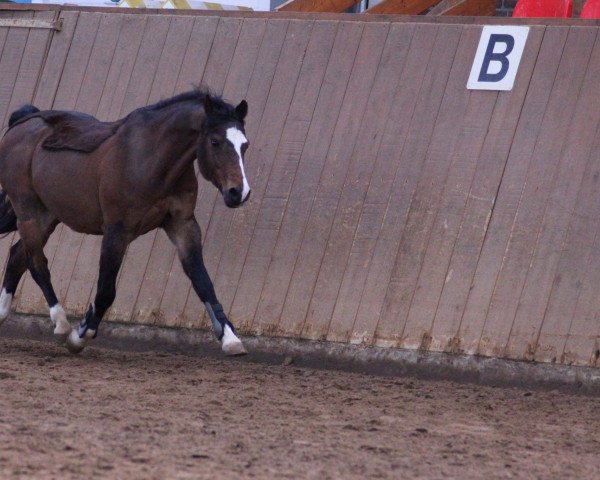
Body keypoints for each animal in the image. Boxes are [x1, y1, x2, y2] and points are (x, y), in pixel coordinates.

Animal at [0, 88, 251, 354]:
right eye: (215, 141)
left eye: (244, 145)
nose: (239, 193)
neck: (150, 159)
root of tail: (22, 123)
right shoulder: (116, 232)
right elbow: (105, 290)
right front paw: (80, 335)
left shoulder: (183, 224)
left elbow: (202, 280)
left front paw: (230, 338)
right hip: (28, 211)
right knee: (37, 263)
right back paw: (61, 323)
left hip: (48, 215)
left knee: (18, 256)